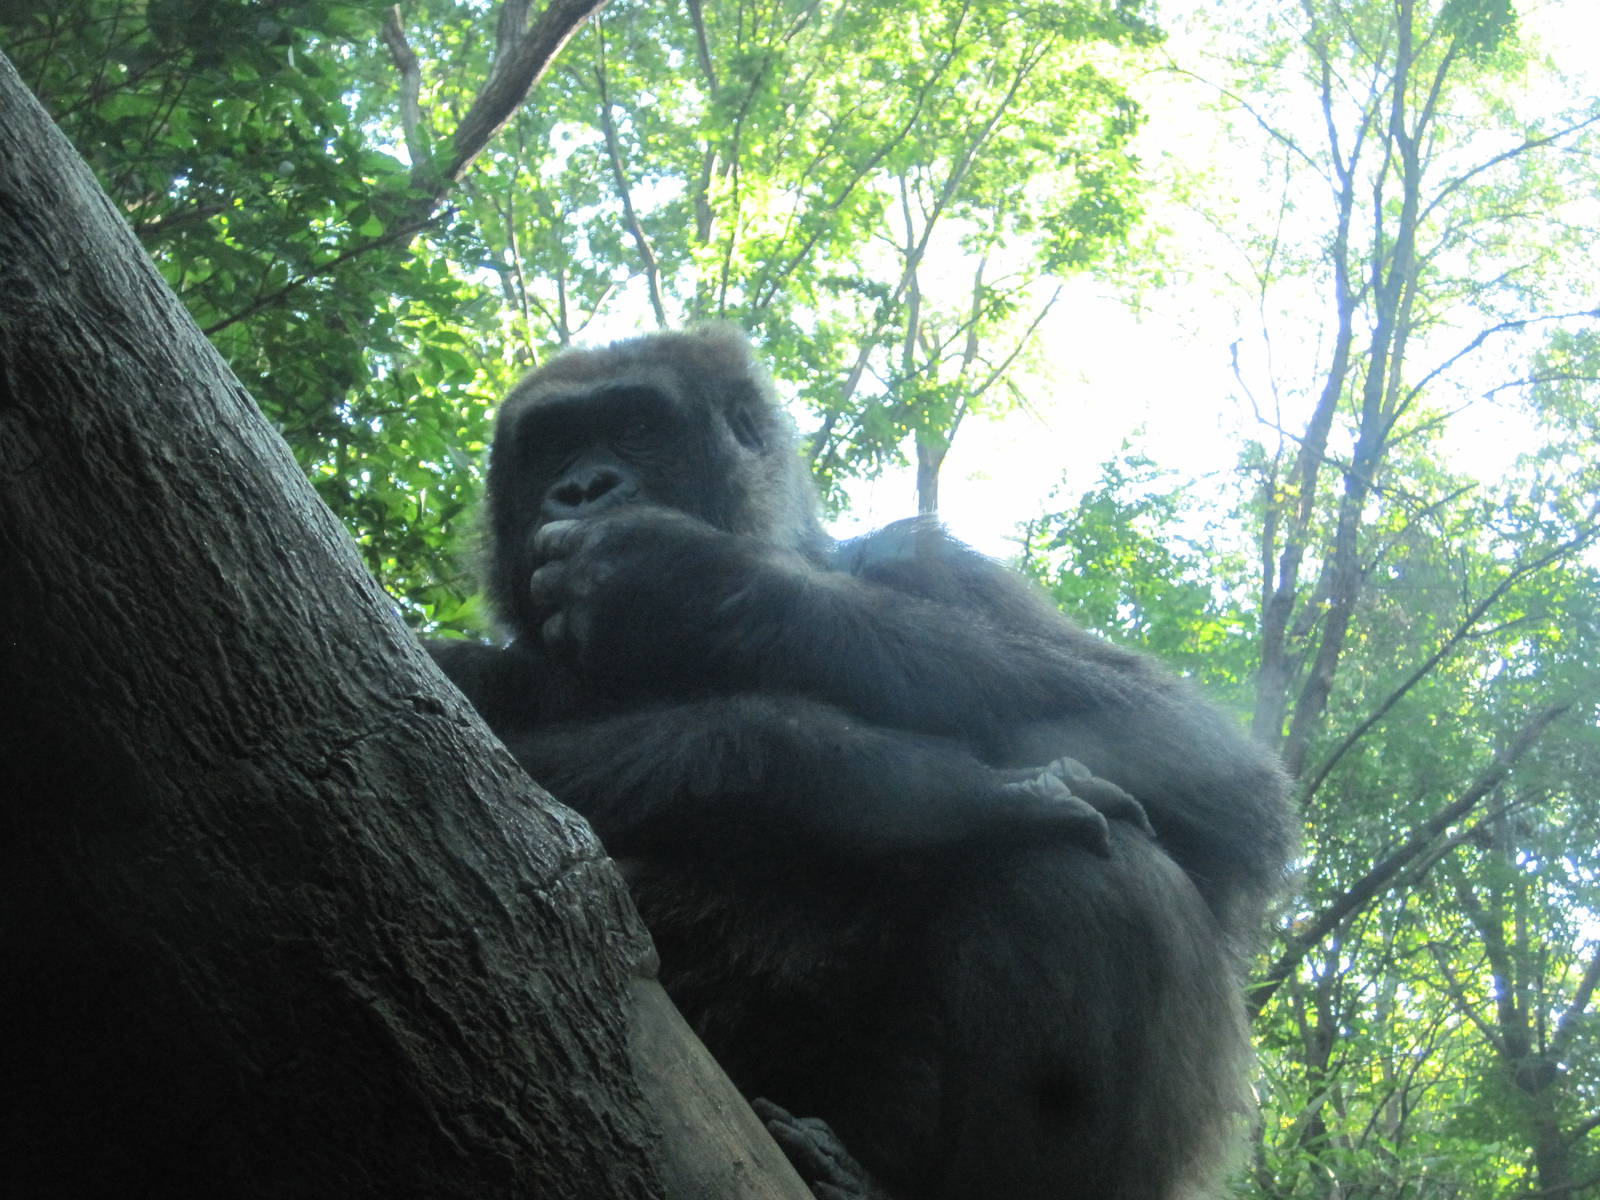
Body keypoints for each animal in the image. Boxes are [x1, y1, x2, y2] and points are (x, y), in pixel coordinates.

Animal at [428, 324, 1294, 1199]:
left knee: (1090, 869)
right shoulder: (479, 667)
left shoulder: (925, 561)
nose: (582, 488)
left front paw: (688, 586)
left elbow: (1201, 764)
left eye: (637, 427)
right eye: (552, 445)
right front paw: (870, 772)